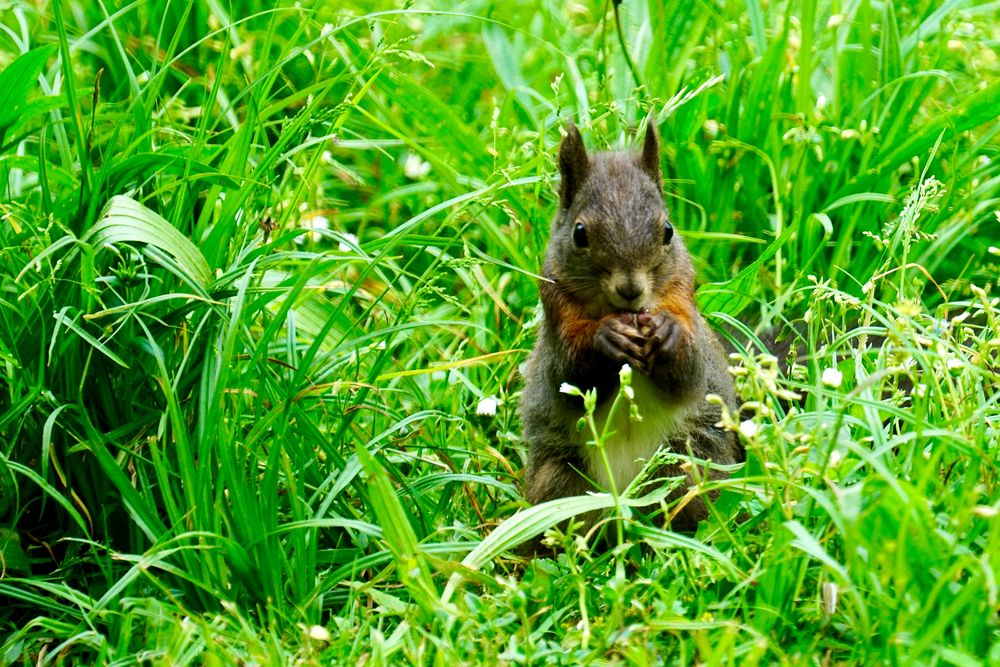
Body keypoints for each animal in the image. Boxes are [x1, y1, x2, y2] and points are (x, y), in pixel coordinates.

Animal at [516, 121, 744, 544]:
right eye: (580, 233)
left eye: (668, 230)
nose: (631, 289)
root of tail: (625, 503)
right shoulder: (556, 317)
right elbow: (568, 377)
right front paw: (606, 339)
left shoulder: (684, 301)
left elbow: (689, 376)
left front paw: (667, 334)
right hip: (561, 481)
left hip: (686, 471)